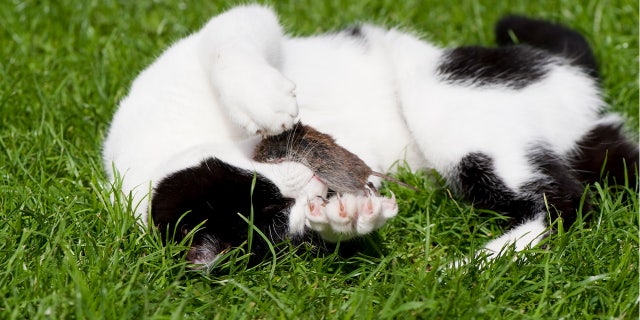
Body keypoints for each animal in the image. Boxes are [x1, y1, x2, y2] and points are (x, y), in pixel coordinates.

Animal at [102, 4, 636, 268]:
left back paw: (465, 268)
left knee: (565, 203)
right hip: (587, 145)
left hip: (443, 95)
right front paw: (345, 217)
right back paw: (469, 268)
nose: (312, 186)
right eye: (277, 221)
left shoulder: (190, 61)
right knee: (570, 201)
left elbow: (227, 36)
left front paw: (263, 101)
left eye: (266, 197)